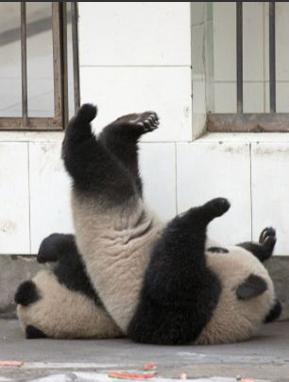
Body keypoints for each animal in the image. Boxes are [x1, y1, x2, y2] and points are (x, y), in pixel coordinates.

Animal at [15, 106, 280, 344]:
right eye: (218, 249)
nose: (215, 247)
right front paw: (263, 241)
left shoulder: (179, 316)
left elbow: (167, 281)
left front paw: (209, 210)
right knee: (122, 166)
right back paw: (133, 123)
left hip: (106, 195)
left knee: (97, 168)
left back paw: (85, 119)